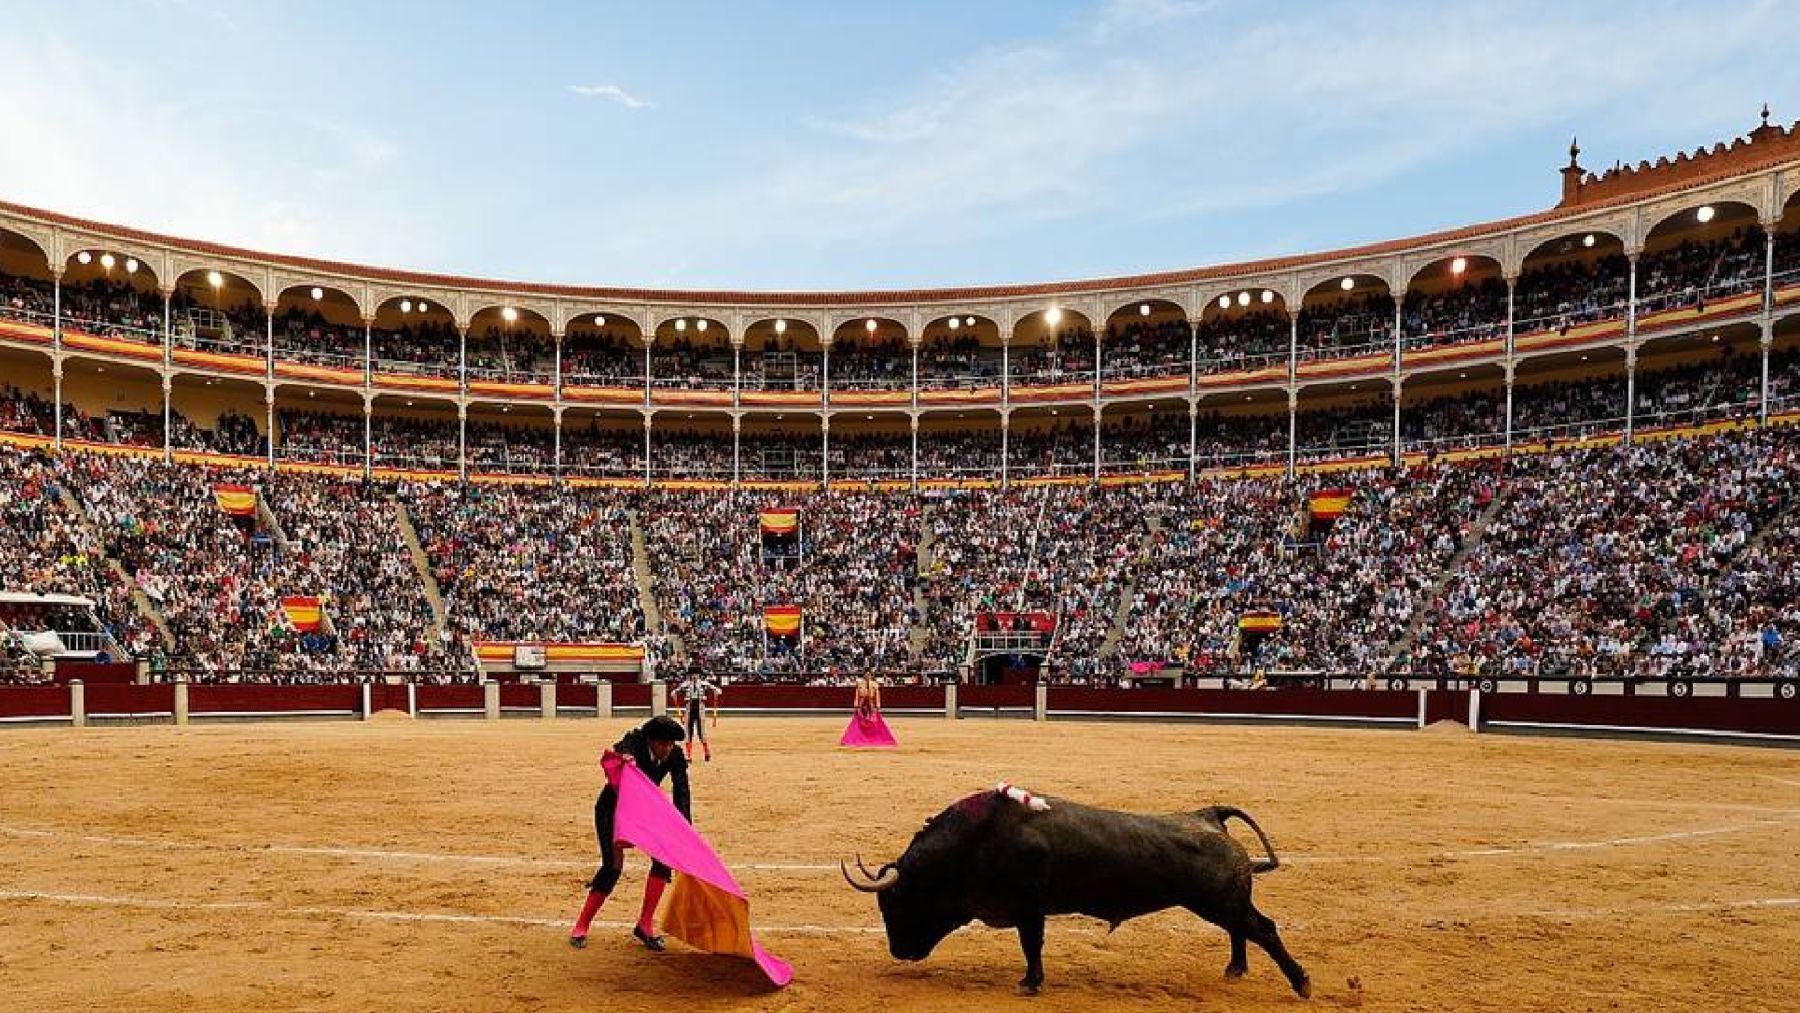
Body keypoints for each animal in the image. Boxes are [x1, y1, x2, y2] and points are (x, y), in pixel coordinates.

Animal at [842, 791, 1310, 1000]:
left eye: (895, 902)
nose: (899, 952)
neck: (975, 840)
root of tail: (1209, 815)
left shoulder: (1029, 908)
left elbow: (1031, 945)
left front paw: (1030, 983)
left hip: (1218, 901)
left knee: (1263, 929)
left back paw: (1301, 983)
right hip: (1223, 903)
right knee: (1242, 930)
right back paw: (1235, 970)